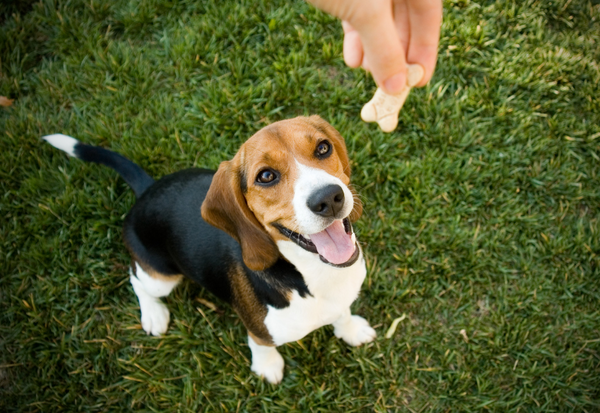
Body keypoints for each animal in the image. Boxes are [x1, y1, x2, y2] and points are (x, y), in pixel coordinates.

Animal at [44, 116, 376, 384]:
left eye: (322, 148)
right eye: (266, 176)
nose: (328, 198)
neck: (313, 273)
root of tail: (147, 190)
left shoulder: (341, 298)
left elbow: (343, 314)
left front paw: (351, 330)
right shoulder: (259, 330)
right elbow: (261, 345)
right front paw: (268, 367)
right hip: (161, 278)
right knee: (136, 278)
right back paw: (153, 313)